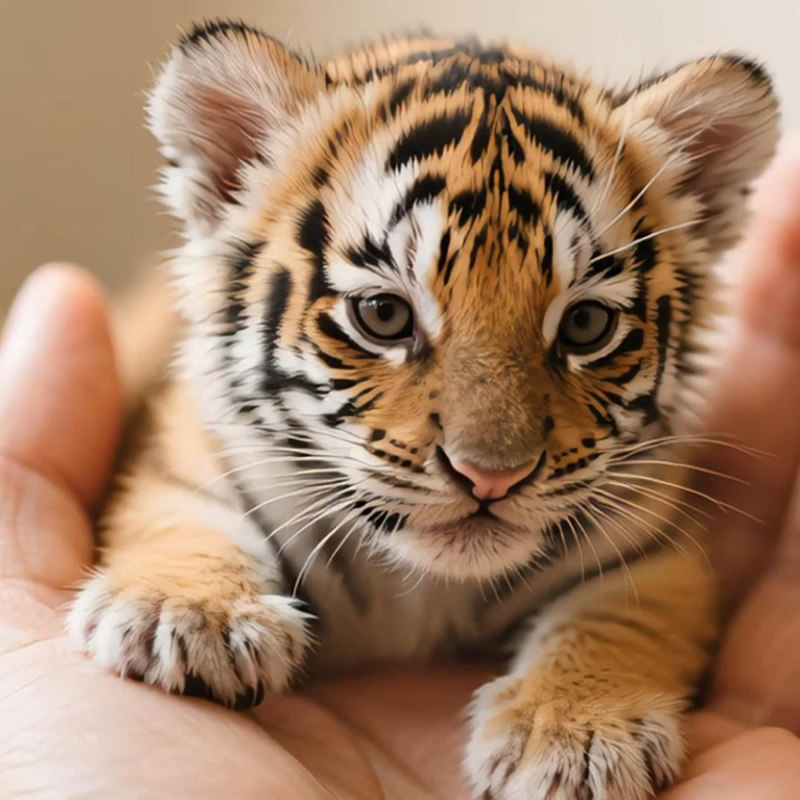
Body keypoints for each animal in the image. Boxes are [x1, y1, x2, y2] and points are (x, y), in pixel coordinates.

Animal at [66, 19, 779, 800]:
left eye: (586, 325)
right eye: (383, 315)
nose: (492, 477)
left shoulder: (655, 543)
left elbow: (619, 619)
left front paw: (578, 735)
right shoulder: (185, 444)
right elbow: (181, 514)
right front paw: (186, 618)